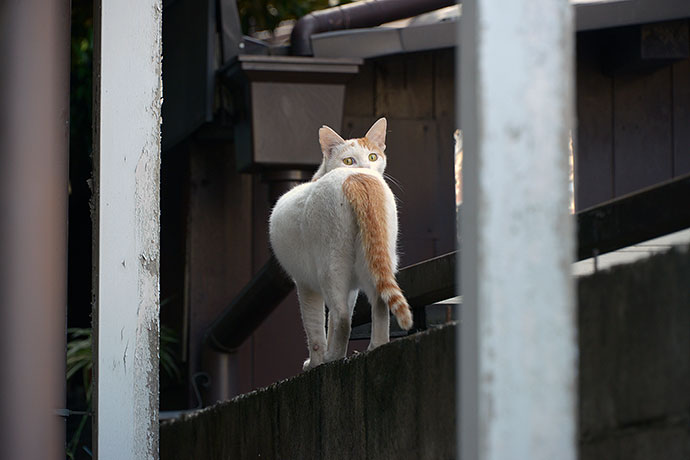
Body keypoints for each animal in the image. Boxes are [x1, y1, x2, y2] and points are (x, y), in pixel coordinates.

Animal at [268, 117, 408, 370]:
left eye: (373, 157)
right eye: (348, 160)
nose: (364, 167)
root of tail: (355, 178)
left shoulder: (305, 284)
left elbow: (316, 328)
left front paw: (315, 362)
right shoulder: (350, 288)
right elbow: (332, 322)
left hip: (331, 266)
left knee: (343, 317)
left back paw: (332, 358)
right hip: (375, 258)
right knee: (379, 303)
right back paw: (375, 346)